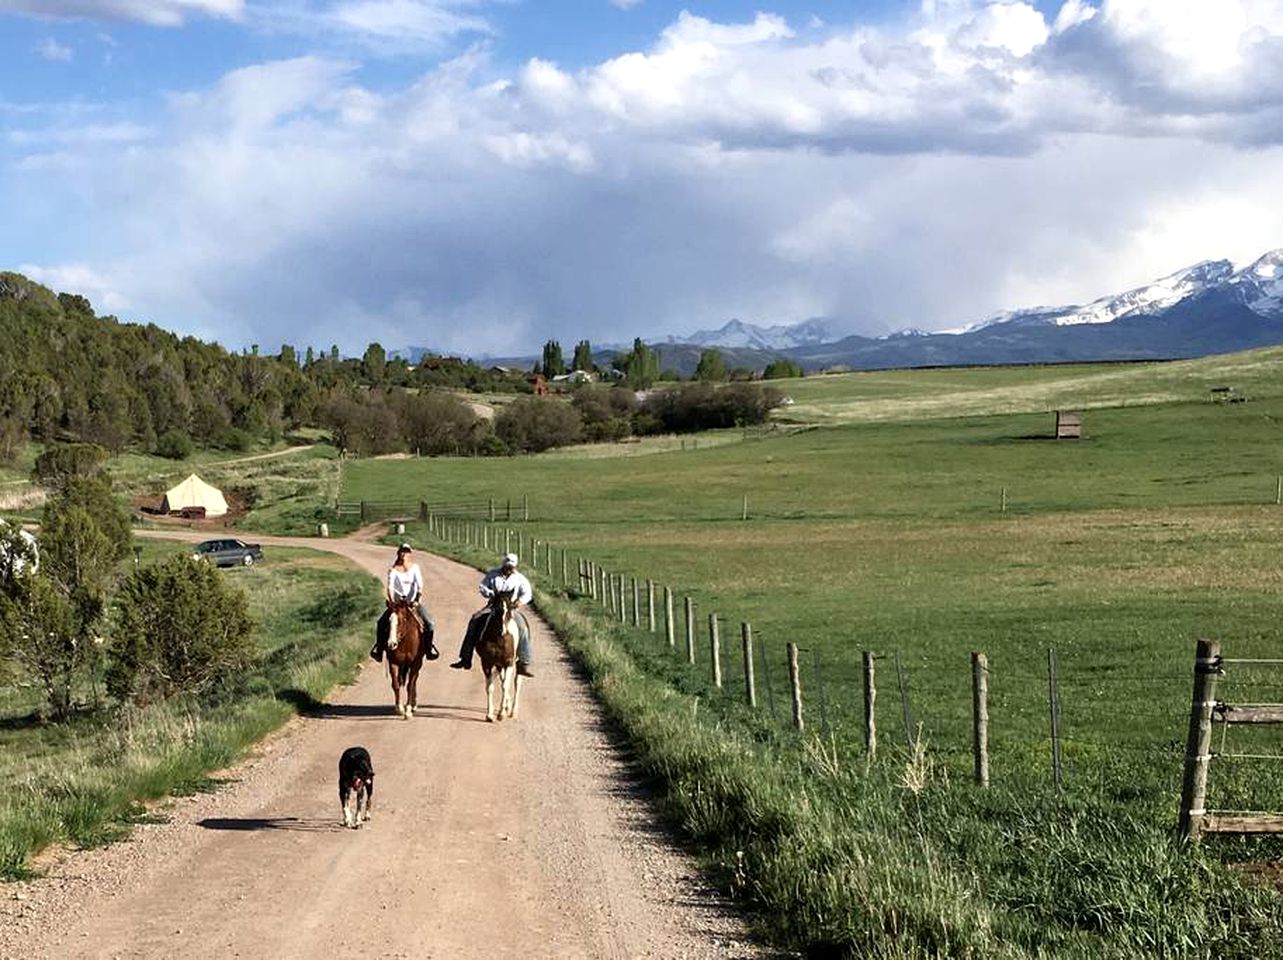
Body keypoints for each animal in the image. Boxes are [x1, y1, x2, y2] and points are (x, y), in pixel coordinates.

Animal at [479, 587, 523, 723]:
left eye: (509, 609)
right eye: (497, 609)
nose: (502, 631)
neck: (499, 640)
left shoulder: (509, 662)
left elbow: (505, 686)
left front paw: (501, 714)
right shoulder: (487, 663)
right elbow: (490, 687)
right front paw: (489, 715)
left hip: (517, 663)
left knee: (516, 683)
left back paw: (513, 711)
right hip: (499, 665)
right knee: (503, 679)